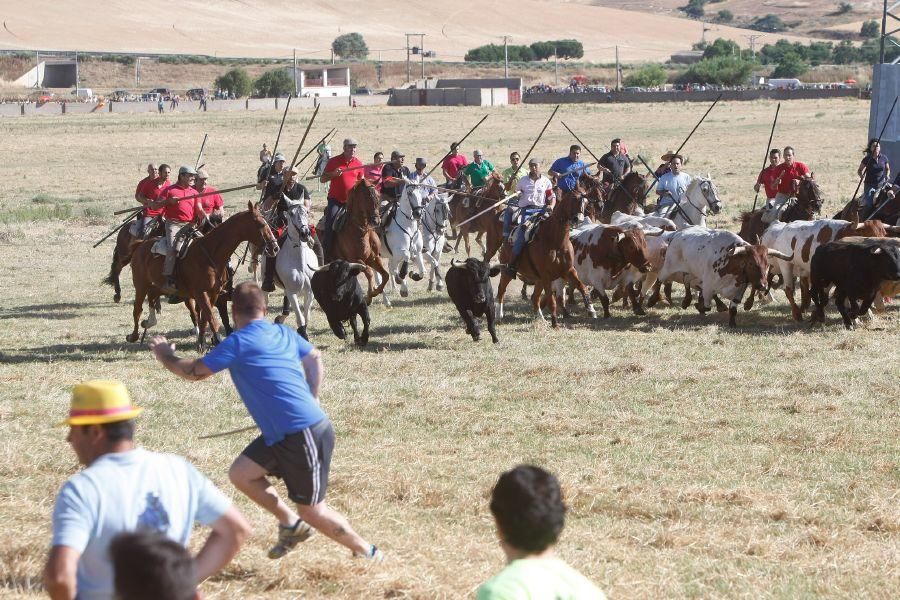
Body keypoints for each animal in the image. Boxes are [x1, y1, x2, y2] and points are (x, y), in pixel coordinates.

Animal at [125, 203, 276, 352]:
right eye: (261, 224)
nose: (274, 247)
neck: (211, 253)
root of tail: (140, 245)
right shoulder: (201, 293)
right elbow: (210, 317)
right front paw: (215, 341)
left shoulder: (213, 294)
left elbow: (204, 318)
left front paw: (202, 343)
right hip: (140, 285)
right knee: (137, 309)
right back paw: (133, 336)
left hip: (157, 286)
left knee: (151, 298)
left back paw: (149, 322)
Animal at [264, 202, 320, 340]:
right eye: (291, 213)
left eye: (306, 212)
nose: (305, 233)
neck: (300, 263)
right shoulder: (292, 292)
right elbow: (300, 318)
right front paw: (303, 334)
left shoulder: (309, 293)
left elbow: (306, 316)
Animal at [492, 184, 596, 328]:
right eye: (573, 199)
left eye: (586, 202)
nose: (578, 219)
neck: (555, 240)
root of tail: (507, 239)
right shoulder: (546, 276)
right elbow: (551, 300)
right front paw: (555, 323)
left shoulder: (569, 270)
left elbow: (582, 287)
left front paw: (591, 310)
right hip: (507, 273)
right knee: (501, 291)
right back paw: (498, 316)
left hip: (539, 280)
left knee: (534, 298)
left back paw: (541, 319)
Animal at [656, 226, 792, 328]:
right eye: (751, 263)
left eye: (767, 265)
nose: (763, 286)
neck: (730, 262)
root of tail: (677, 234)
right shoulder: (708, 286)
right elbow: (707, 306)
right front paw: (700, 306)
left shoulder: (739, 291)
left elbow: (733, 309)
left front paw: (732, 323)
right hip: (668, 269)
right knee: (659, 279)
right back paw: (654, 299)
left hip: (692, 274)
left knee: (688, 282)